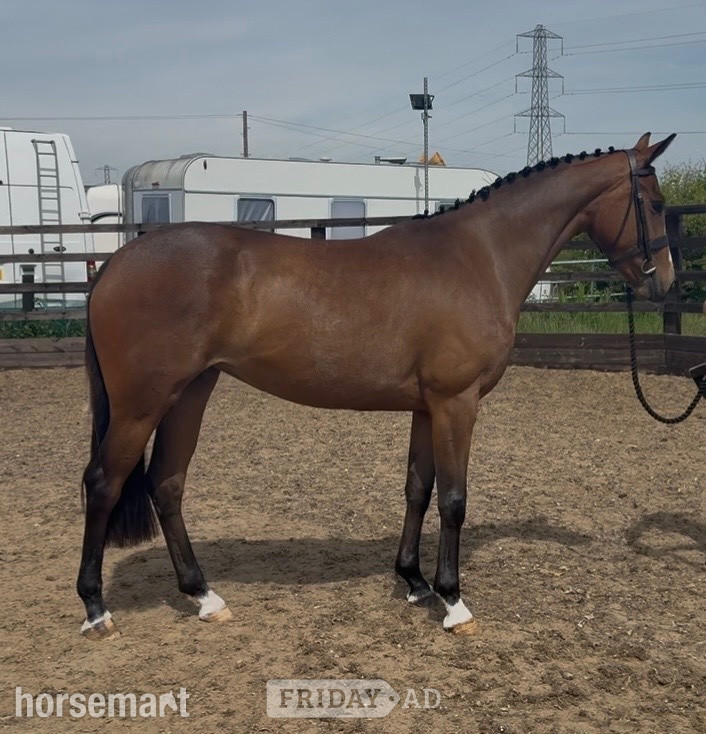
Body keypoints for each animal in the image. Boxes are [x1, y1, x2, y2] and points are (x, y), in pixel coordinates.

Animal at [77, 133, 676, 640]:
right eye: (655, 204)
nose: (664, 282)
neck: (479, 254)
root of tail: (113, 265)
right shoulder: (456, 403)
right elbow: (453, 498)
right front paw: (454, 601)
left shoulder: (427, 407)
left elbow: (418, 488)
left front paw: (414, 581)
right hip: (142, 404)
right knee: (105, 483)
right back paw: (96, 608)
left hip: (190, 393)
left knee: (166, 484)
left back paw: (204, 595)